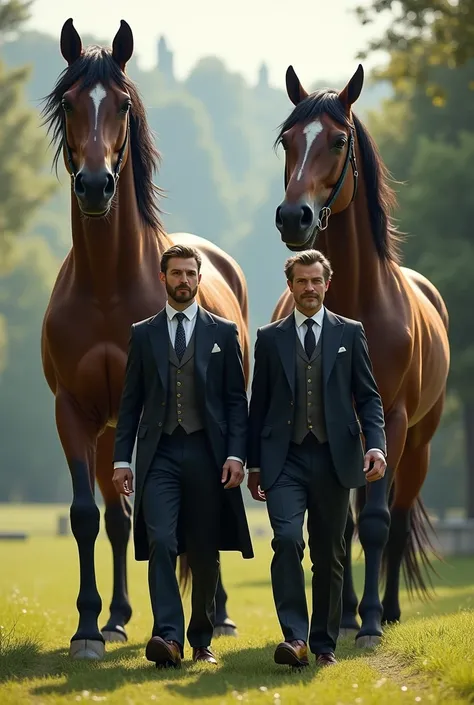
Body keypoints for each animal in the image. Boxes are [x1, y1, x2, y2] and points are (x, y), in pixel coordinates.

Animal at [39, 22, 252, 660]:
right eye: (69, 102)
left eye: (123, 105)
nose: (95, 185)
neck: (108, 287)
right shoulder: (76, 413)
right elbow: (89, 516)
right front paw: (90, 628)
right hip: (111, 430)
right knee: (118, 517)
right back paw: (118, 617)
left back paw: (220, 615)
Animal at [272, 67, 450, 648]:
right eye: (289, 140)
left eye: (337, 140)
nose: (294, 217)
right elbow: (342, 525)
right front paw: (346, 616)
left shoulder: (388, 421)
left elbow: (376, 525)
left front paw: (373, 621)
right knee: (346, 522)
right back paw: (346, 613)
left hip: (416, 447)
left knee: (395, 521)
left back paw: (385, 610)